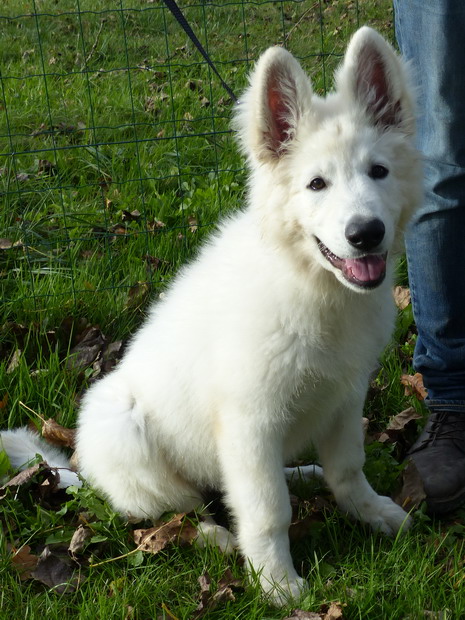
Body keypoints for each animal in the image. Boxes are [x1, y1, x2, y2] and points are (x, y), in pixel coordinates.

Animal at [0, 26, 420, 604]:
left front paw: (371, 512)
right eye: (316, 184)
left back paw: (303, 473)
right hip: (128, 433)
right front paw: (277, 584)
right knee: (170, 511)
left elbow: (349, 469)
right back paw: (213, 538)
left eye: (379, 171)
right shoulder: (250, 422)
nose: (365, 234)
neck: (309, 282)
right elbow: (267, 510)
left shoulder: (343, 396)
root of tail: (86, 473)